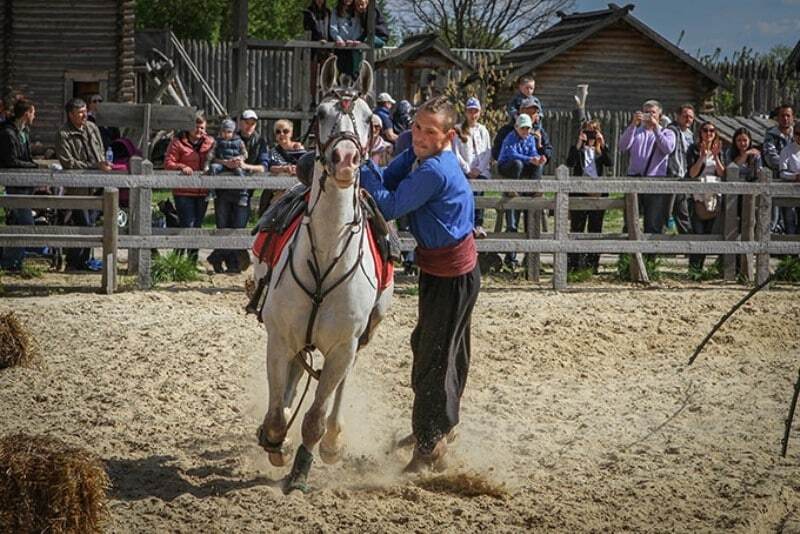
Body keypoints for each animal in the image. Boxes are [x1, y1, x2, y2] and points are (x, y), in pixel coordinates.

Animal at [255, 57, 392, 494]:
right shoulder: (280, 338)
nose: (345, 159)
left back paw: (333, 440)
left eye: (369, 119)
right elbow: (277, 414)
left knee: (336, 390)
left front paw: (301, 471)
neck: (328, 250)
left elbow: (314, 418)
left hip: (352, 346)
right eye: (320, 114)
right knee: (294, 378)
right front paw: (275, 440)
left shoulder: (342, 348)